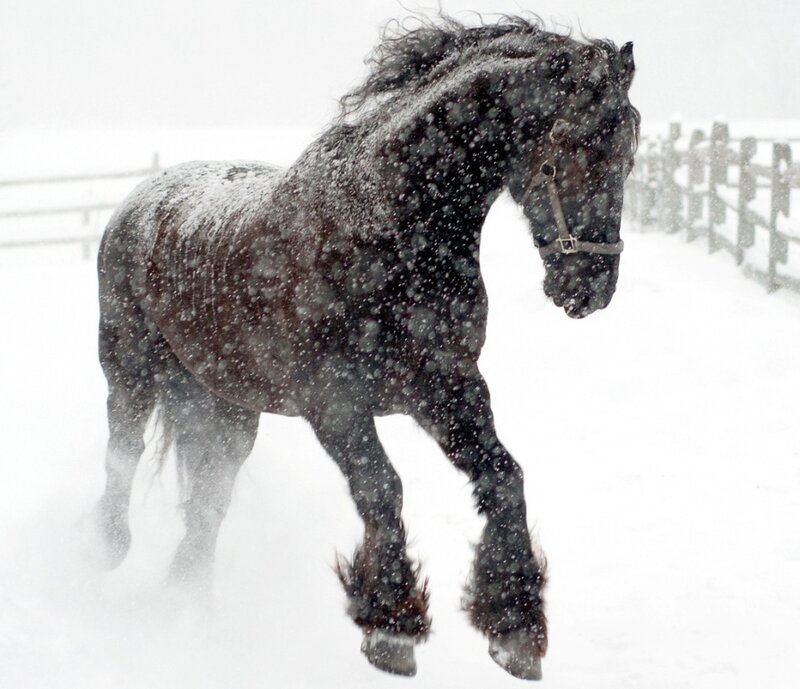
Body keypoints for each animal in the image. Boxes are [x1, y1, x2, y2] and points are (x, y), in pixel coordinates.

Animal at [92, 15, 638, 680]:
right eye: (570, 145)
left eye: (629, 154)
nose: (592, 288)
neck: (388, 230)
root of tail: (140, 200)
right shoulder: (334, 403)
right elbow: (383, 490)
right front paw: (391, 629)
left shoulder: (446, 386)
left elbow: (503, 476)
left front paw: (515, 631)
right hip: (129, 370)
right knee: (123, 453)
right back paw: (105, 550)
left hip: (228, 407)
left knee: (208, 500)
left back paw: (187, 592)